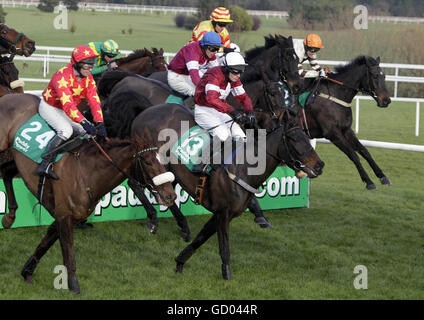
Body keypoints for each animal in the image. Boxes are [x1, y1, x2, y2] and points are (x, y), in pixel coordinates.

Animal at [0, 92, 176, 292]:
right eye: (147, 162)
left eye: (161, 160)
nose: (170, 195)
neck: (87, 172)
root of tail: (9, 96)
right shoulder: (65, 216)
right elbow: (69, 254)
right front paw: (73, 285)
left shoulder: (67, 216)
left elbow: (45, 243)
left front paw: (27, 270)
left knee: (6, 171)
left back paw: (9, 216)